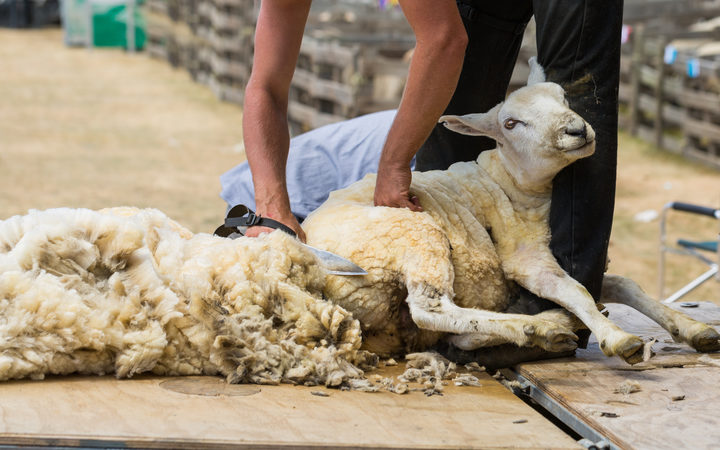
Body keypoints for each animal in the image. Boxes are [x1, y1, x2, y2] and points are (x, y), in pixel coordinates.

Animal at [302, 59, 720, 364]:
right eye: (510, 123)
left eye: (563, 97)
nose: (576, 130)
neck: (514, 184)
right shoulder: (526, 260)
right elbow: (577, 289)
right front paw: (618, 339)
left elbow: (624, 285)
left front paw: (693, 329)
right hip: (413, 235)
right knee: (431, 309)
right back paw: (541, 326)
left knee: (450, 334)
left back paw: (542, 328)